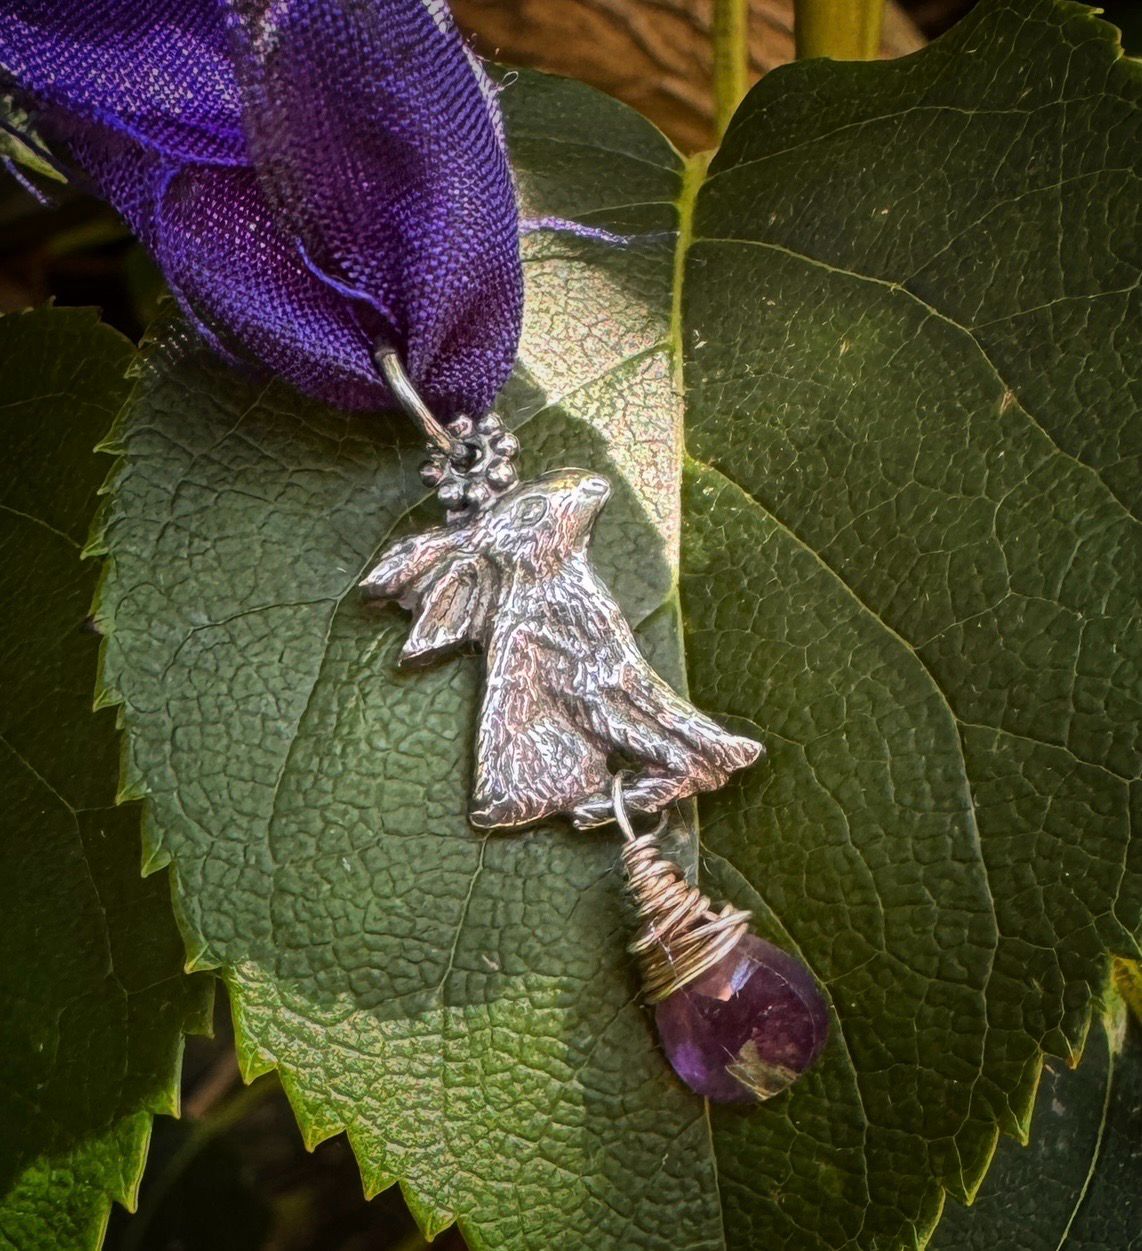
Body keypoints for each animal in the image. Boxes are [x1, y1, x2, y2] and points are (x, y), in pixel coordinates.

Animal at [361, 468, 762, 829]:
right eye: (531, 510)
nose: (595, 483)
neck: (544, 575)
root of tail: (490, 814)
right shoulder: (598, 665)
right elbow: (684, 736)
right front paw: (732, 755)